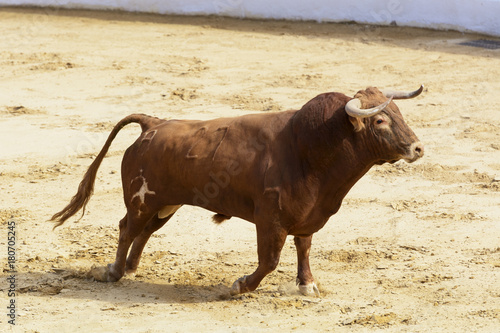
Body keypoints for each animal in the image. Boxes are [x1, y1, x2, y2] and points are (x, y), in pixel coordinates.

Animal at [52, 85, 424, 296]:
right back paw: (114, 272)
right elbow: (269, 260)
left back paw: (130, 268)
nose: (418, 148)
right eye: (380, 120)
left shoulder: (307, 217)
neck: (311, 147)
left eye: (398, 112)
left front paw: (307, 285)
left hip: (166, 204)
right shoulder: (270, 219)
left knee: (143, 231)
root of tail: (153, 124)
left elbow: (303, 249)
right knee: (127, 228)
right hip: (142, 200)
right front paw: (240, 286)